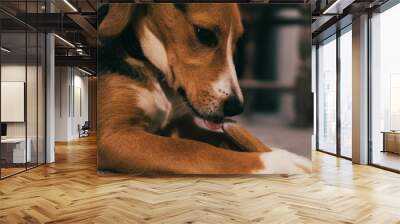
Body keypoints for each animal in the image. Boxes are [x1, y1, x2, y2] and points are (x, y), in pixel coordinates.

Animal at [97, 3, 312, 175]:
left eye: (238, 42)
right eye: (204, 34)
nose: (236, 108)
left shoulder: (182, 124)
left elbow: (217, 139)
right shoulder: (114, 136)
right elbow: (197, 150)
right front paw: (283, 161)